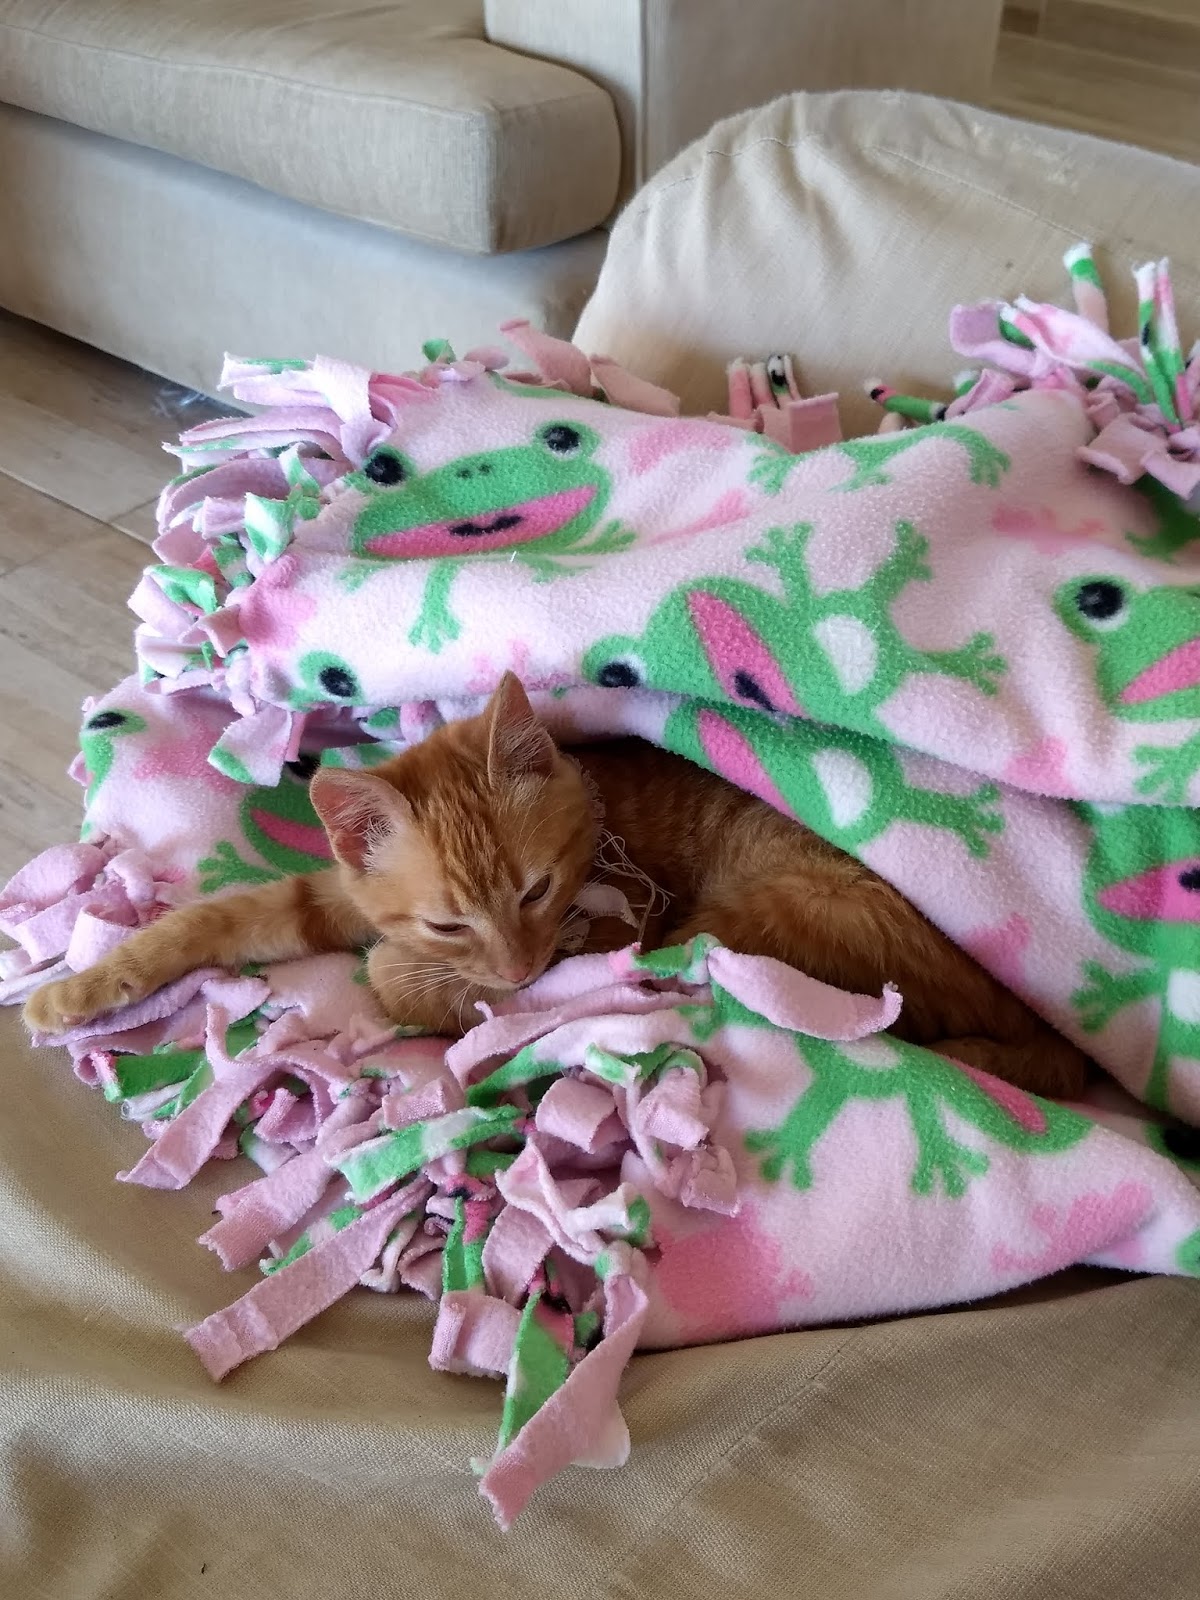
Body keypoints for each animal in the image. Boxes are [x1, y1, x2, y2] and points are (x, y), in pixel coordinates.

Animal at [24, 673, 1089, 1097]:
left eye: (535, 892)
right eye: (452, 920)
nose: (519, 965)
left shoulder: (614, 932)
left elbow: (396, 982)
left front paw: (420, 993)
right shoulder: (330, 898)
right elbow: (218, 918)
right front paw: (78, 990)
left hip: (760, 919)